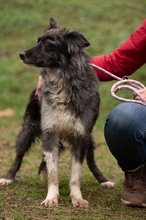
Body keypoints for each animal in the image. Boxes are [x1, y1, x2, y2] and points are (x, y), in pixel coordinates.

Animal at [0, 18, 114, 207]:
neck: (62, 81)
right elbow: (53, 172)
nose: (21, 54)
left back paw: (103, 180)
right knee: (18, 156)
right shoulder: (50, 132)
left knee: (91, 161)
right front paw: (51, 197)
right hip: (28, 129)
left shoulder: (81, 135)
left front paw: (77, 198)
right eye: (38, 40)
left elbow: (76, 173)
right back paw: (8, 178)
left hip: (89, 138)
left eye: (48, 44)